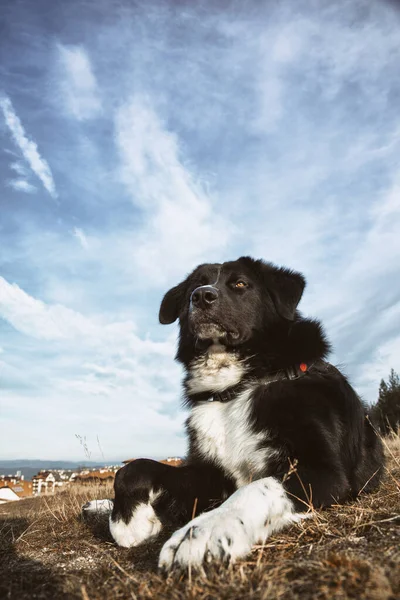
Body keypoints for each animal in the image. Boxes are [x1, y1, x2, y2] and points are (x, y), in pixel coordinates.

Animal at [83, 256, 384, 572]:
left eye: (240, 284)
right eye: (194, 286)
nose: (201, 296)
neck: (235, 388)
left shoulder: (325, 472)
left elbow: (256, 488)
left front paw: (203, 532)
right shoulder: (209, 475)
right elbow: (133, 468)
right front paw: (128, 521)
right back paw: (99, 506)